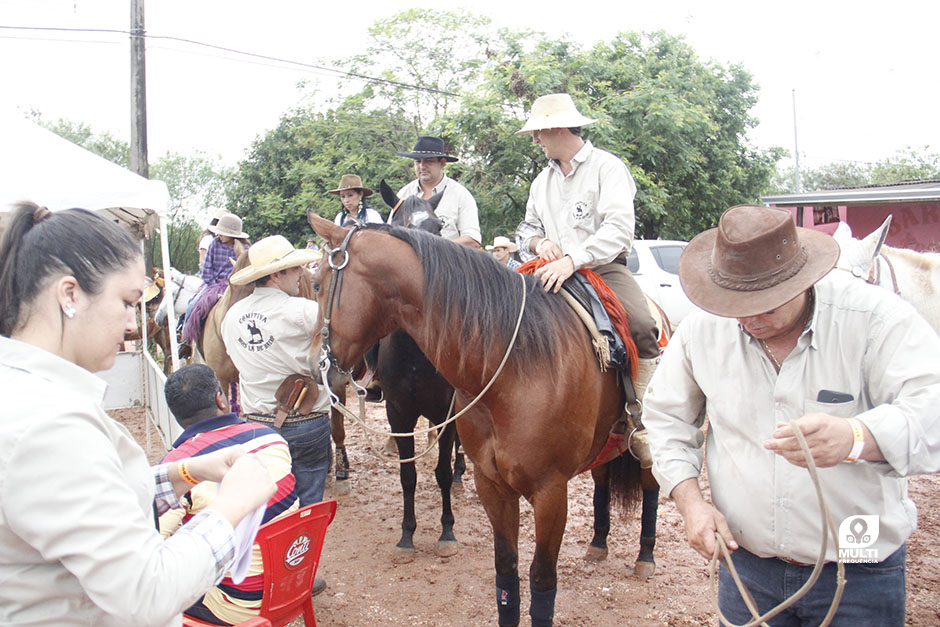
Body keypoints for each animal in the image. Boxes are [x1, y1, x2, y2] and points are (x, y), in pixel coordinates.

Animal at [308, 213, 648, 624]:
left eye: (317, 282)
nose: (314, 365)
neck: (516, 366)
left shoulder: (551, 492)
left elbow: (542, 580)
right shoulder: (491, 484)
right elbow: (506, 573)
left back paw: (645, 555)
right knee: (602, 480)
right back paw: (598, 542)